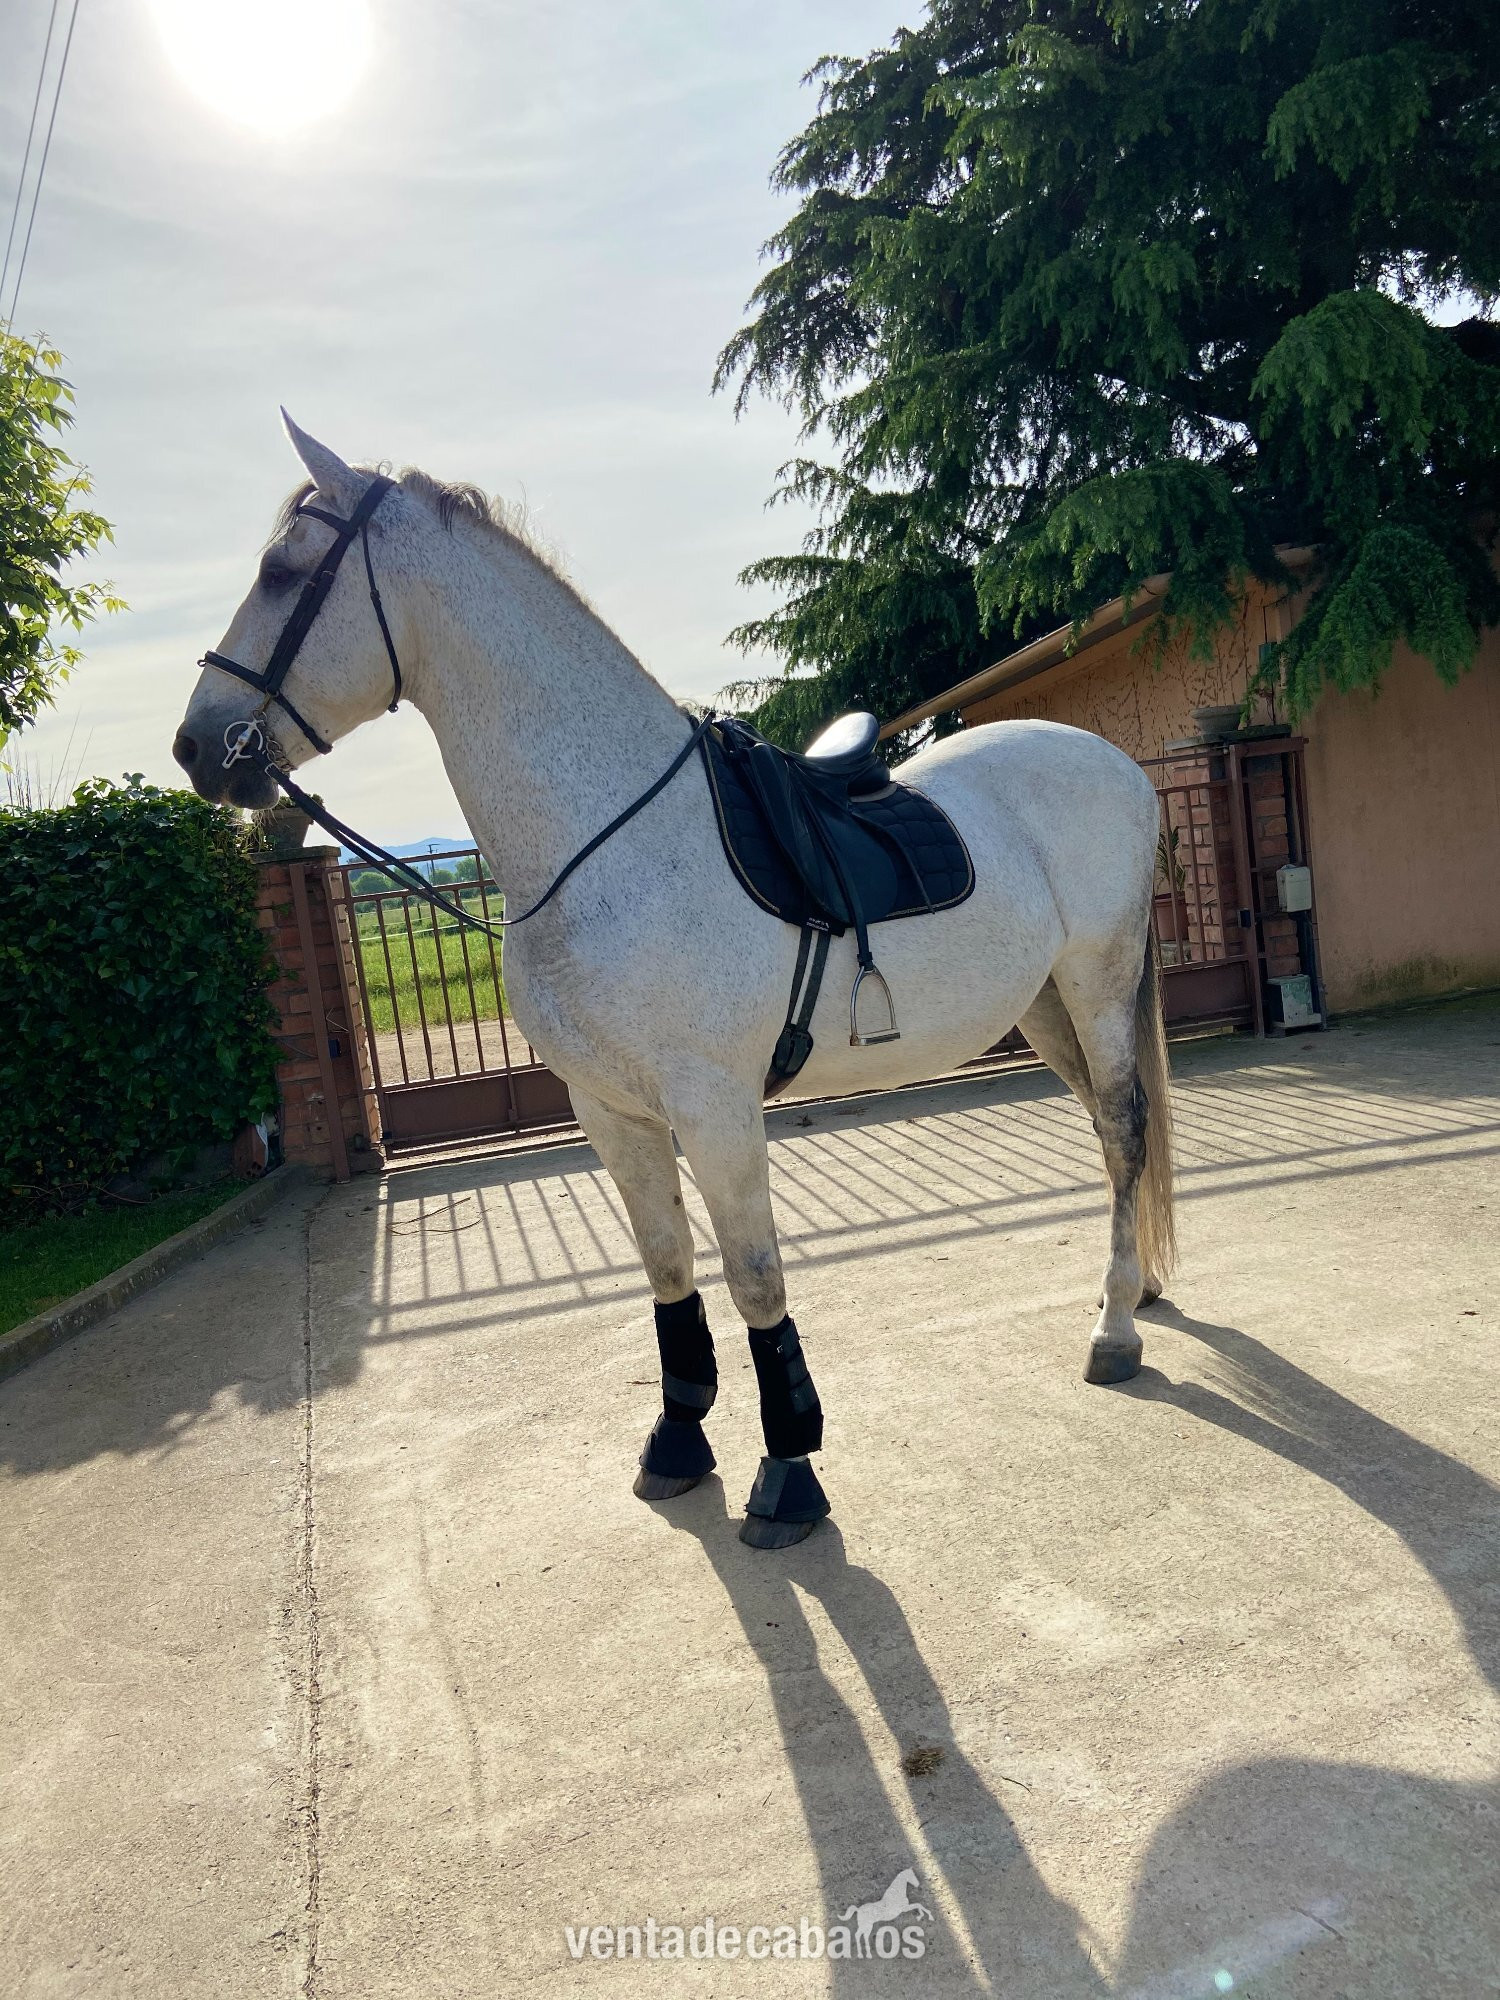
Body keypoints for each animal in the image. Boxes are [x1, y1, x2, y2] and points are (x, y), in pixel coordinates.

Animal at [172, 416, 1175, 1550]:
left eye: (283, 569)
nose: (198, 747)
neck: (606, 839)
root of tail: (1116, 763)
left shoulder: (716, 1107)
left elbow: (752, 1275)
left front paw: (789, 1471)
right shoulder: (609, 1110)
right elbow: (665, 1265)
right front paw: (679, 1440)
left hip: (1097, 982)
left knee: (1126, 1126)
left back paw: (1114, 1327)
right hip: (1042, 1003)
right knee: (1113, 1134)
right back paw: (1143, 1287)